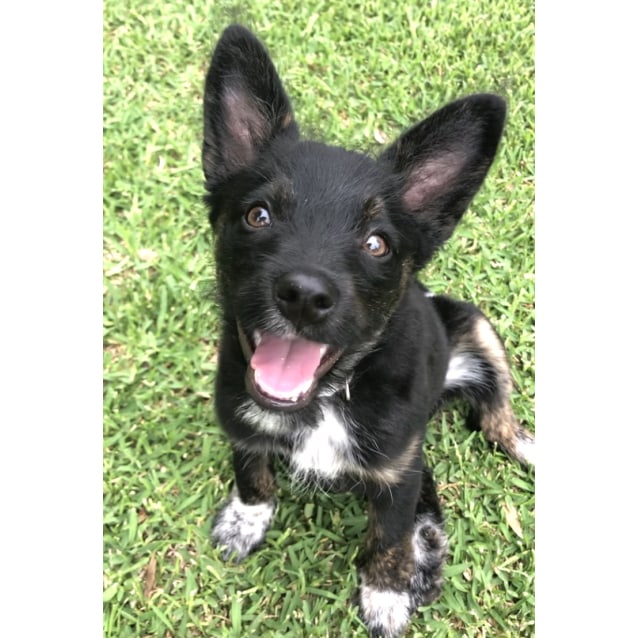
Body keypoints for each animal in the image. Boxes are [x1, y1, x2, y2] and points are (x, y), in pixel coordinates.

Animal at [204, 25, 536, 638]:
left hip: (475, 327)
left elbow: (388, 531)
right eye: (258, 215)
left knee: (494, 421)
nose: (305, 296)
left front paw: (384, 591)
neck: (330, 396)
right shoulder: (241, 423)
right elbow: (252, 470)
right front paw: (246, 518)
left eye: (377, 243)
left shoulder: (395, 467)